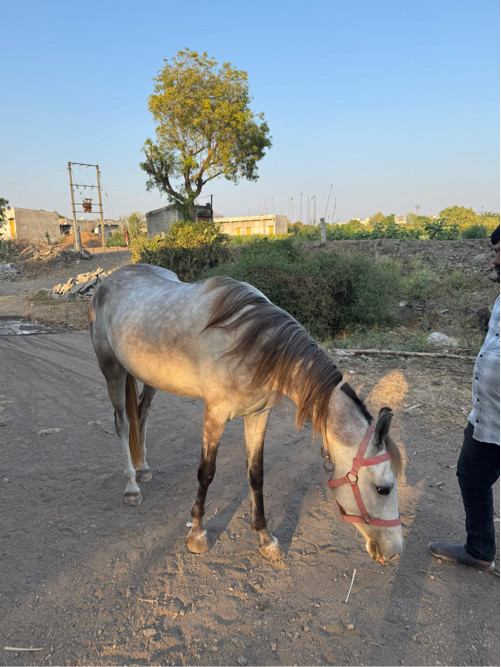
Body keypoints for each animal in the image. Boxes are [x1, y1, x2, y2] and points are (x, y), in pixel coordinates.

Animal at [90, 264, 402, 564]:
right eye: (384, 489)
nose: (395, 550)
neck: (252, 345)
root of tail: (108, 281)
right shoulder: (215, 416)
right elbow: (206, 472)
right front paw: (197, 535)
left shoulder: (257, 416)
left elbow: (256, 474)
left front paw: (266, 539)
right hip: (112, 370)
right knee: (122, 423)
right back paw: (132, 487)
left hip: (149, 378)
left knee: (142, 414)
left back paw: (143, 468)